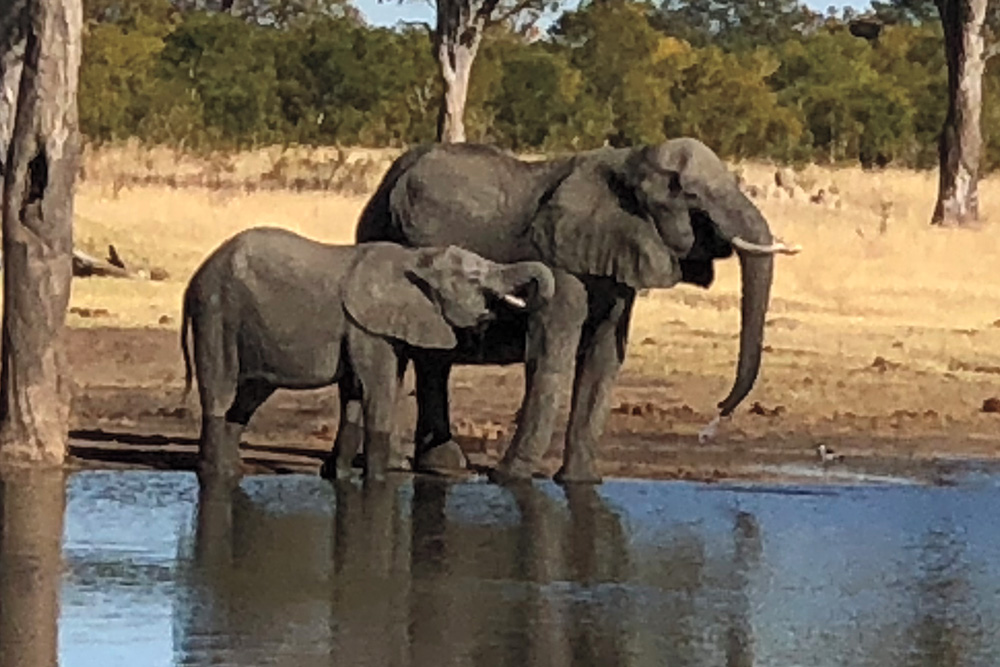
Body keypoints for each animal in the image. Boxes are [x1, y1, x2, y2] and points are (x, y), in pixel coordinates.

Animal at [180, 227, 556, 482]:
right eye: (475, 279)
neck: (417, 258)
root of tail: (195, 277)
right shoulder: (366, 328)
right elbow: (378, 391)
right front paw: (376, 483)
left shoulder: (384, 328)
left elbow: (355, 396)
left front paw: (340, 478)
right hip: (217, 310)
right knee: (220, 390)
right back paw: (214, 475)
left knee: (248, 397)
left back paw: (233, 471)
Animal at [356, 138, 800, 486]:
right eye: (689, 195)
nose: (719, 411)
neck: (626, 162)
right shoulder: (561, 255)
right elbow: (553, 352)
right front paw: (509, 479)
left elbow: (604, 360)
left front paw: (581, 482)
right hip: (382, 234)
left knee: (433, 364)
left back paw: (441, 468)